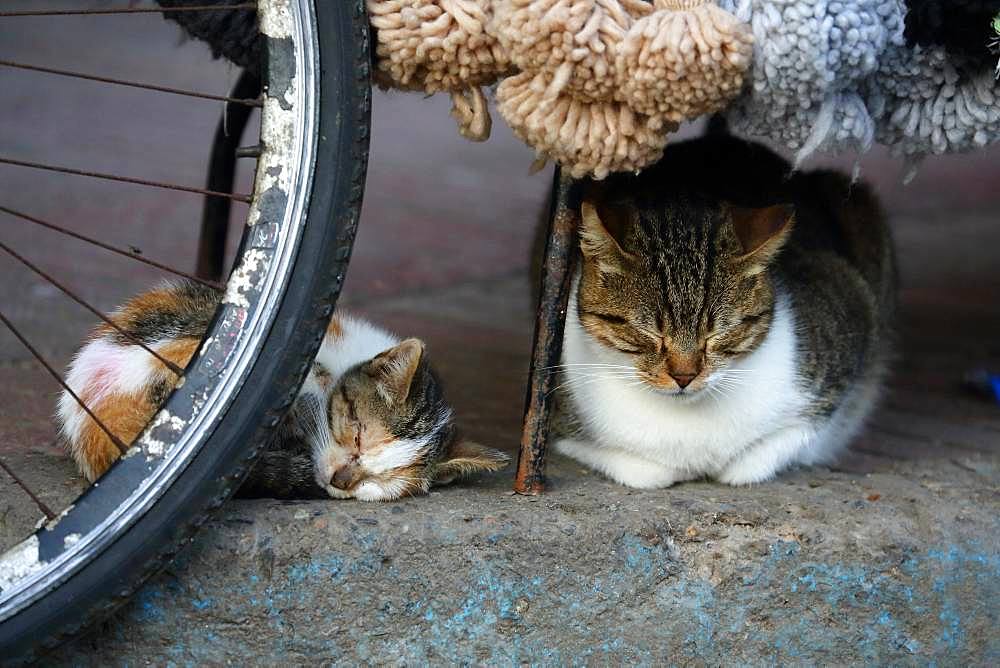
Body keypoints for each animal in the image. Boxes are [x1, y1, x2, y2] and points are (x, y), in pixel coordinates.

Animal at [552, 133, 896, 488]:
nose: (684, 376)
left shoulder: (852, 313)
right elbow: (643, 471)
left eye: (718, 332)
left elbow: (766, 453)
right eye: (649, 331)